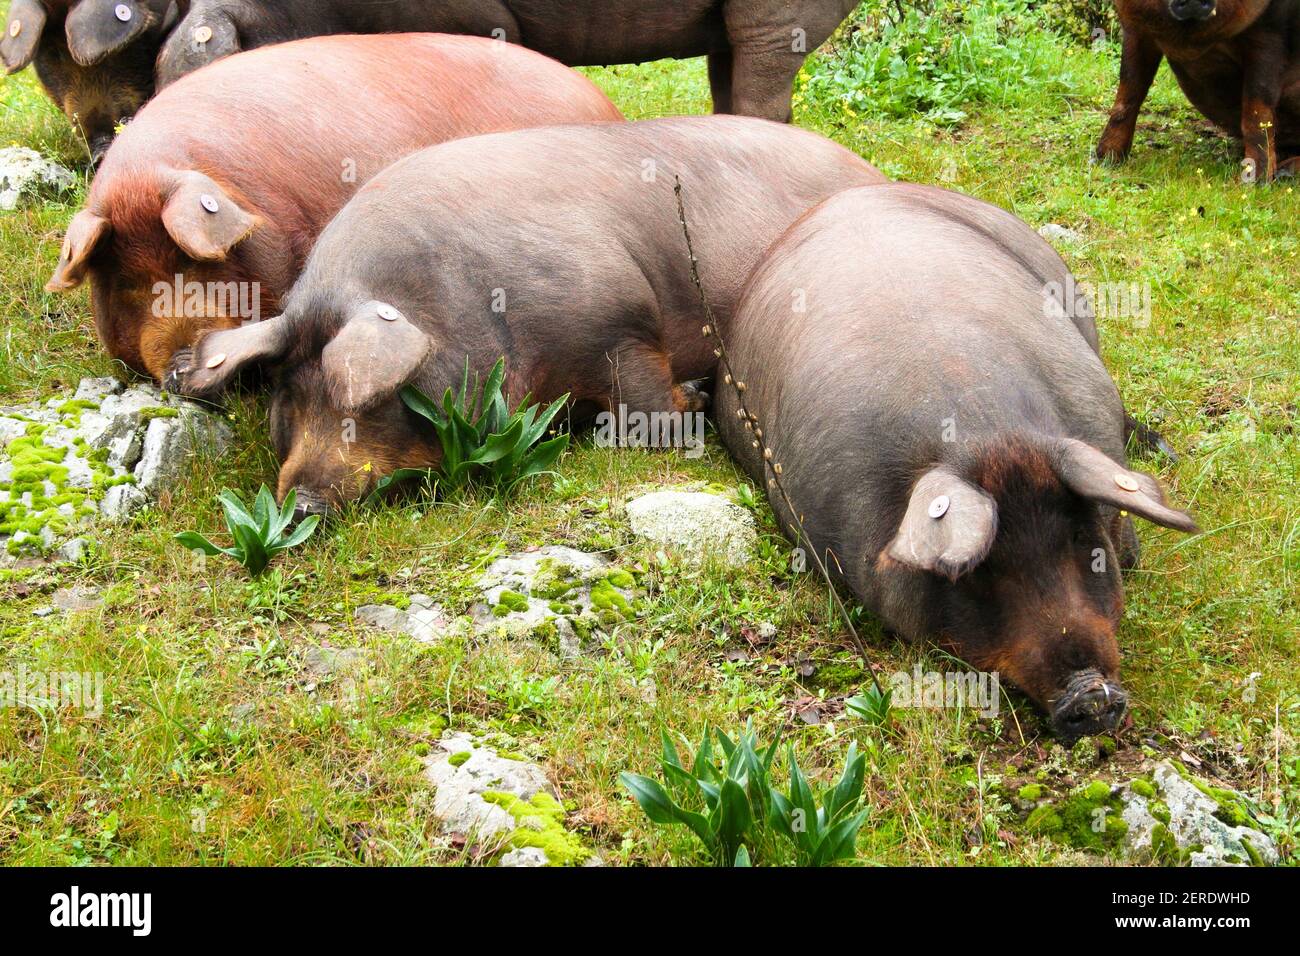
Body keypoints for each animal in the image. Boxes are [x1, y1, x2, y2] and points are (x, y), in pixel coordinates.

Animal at [167, 117, 883, 520]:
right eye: (287, 397)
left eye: (368, 404)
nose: (302, 505)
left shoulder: (620, 321)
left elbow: (650, 410)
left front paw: (697, 400)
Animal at [1097, 0, 1300, 180]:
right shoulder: (1135, 27)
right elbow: (1128, 91)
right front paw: (1104, 161)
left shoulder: (1271, 31)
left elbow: (1257, 111)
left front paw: (1255, 183)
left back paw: (1284, 173)